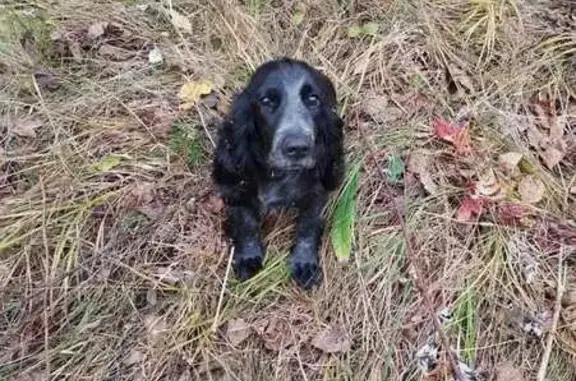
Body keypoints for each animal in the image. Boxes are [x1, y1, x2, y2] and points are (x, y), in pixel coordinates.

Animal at [214, 57, 344, 288]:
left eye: (313, 99)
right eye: (266, 101)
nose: (298, 147)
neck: (280, 174)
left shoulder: (317, 192)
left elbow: (308, 225)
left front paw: (304, 264)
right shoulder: (239, 188)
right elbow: (246, 222)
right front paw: (248, 258)